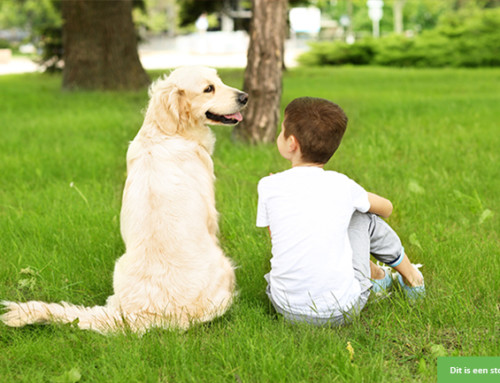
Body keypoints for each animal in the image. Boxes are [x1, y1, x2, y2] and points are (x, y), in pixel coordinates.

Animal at [1, 66, 248, 332]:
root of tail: (140, 313)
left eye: (219, 80)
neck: (165, 132)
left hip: (119, 268)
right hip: (224, 266)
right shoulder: (211, 213)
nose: (245, 97)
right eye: (208, 89)